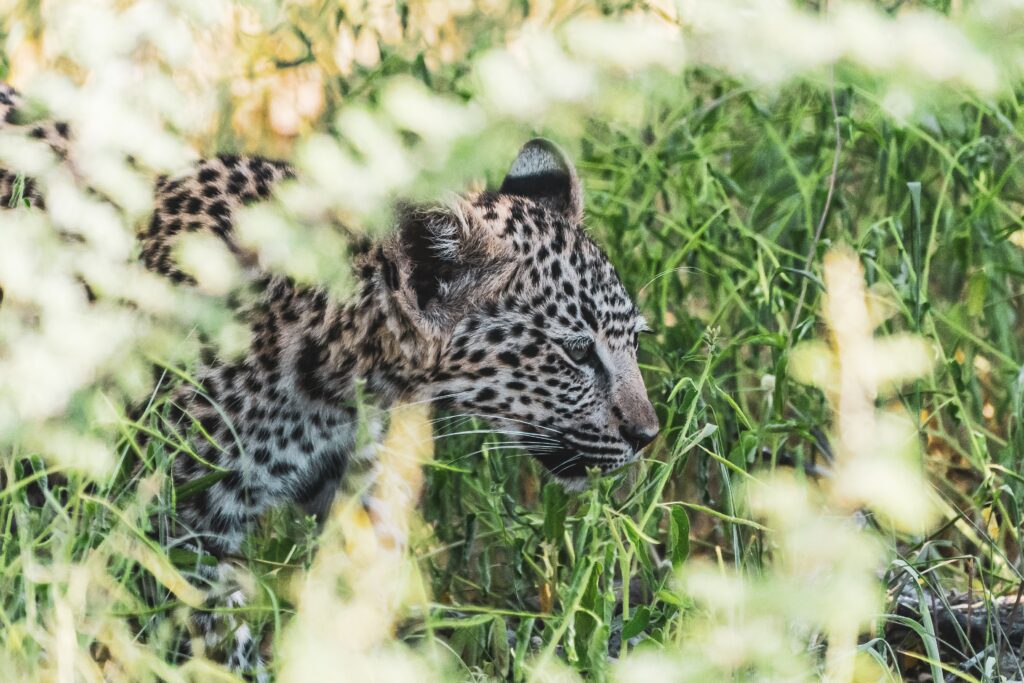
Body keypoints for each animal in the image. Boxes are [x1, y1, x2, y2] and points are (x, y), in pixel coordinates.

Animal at [0, 83, 659, 675]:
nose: (648, 436)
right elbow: (223, 646)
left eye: (631, 341)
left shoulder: (355, 496)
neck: (339, 376)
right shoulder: (175, 529)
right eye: (576, 352)